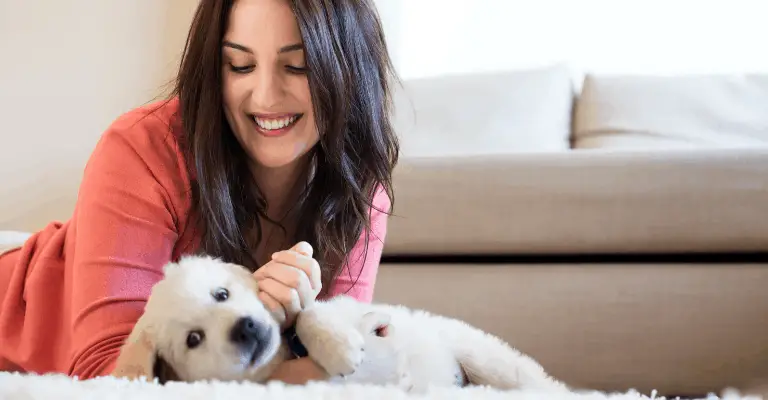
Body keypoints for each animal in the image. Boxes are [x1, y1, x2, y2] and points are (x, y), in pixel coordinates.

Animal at [112, 255, 568, 392]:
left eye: (221, 294)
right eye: (194, 339)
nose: (245, 328)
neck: (287, 356)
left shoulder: (344, 309)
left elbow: (311, 311)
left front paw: (340, 347)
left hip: (485, 358)